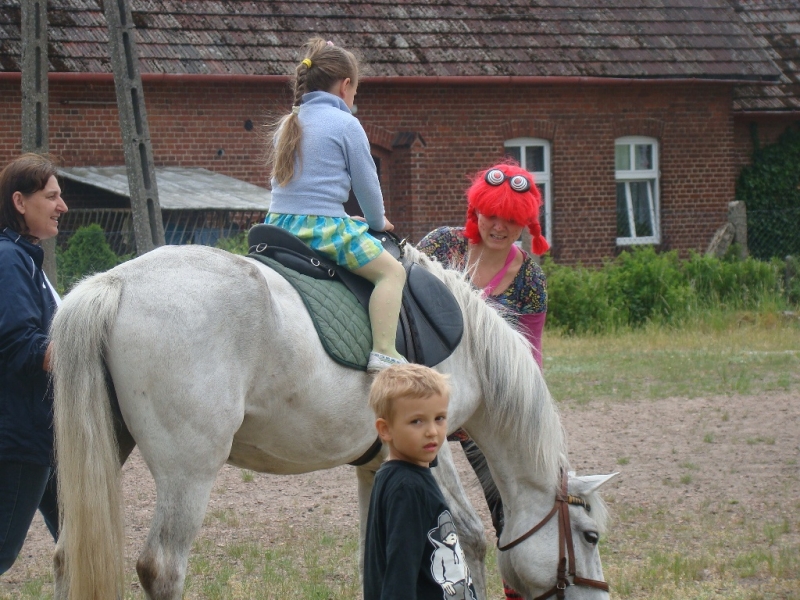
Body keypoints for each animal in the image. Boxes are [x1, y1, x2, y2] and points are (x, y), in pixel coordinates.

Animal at [50, 241, 616, 600]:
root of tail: (117, 281)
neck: (472, 348)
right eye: (590, 536)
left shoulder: (377, 465)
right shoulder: (433, 448)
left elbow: (375, 553)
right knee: (163, 570)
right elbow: (470, 535)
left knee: (66, 557)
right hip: (189, 472)